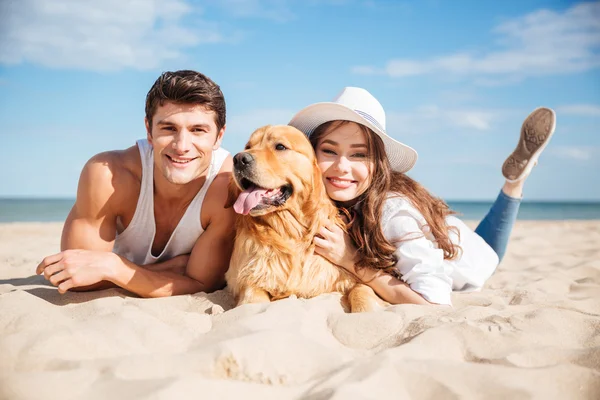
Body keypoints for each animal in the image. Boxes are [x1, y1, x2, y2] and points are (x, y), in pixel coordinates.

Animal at [224, 125, 384, 312]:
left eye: (280, 147)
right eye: (248, 146)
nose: (239, 159)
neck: (292, 232)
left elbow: (361, 289)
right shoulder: (248, 281)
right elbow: (253, 299)